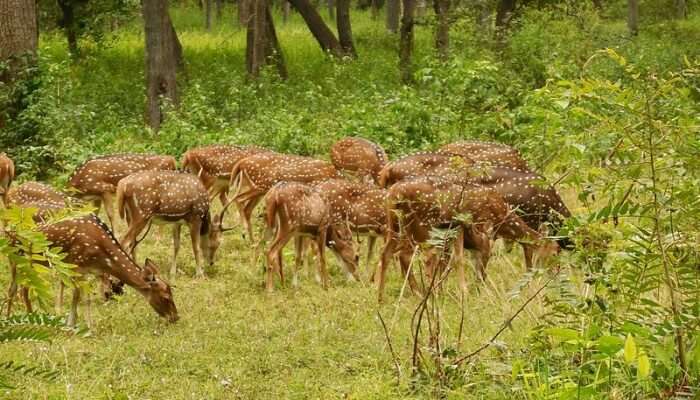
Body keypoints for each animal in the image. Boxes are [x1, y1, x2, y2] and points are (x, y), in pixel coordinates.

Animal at [374, 177, 560, 302]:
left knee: (386, 253)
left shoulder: (458, 230)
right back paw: (424, 293)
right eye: (555, 252)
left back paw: (381, 297)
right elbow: (463, 260)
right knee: (413, 255)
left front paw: (447, 289)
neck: (500, 214)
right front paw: (467, 291)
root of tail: (394, 192)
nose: (556, 272)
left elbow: (450, 260)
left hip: (395, 225)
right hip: (422, 224)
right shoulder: (478, 226)